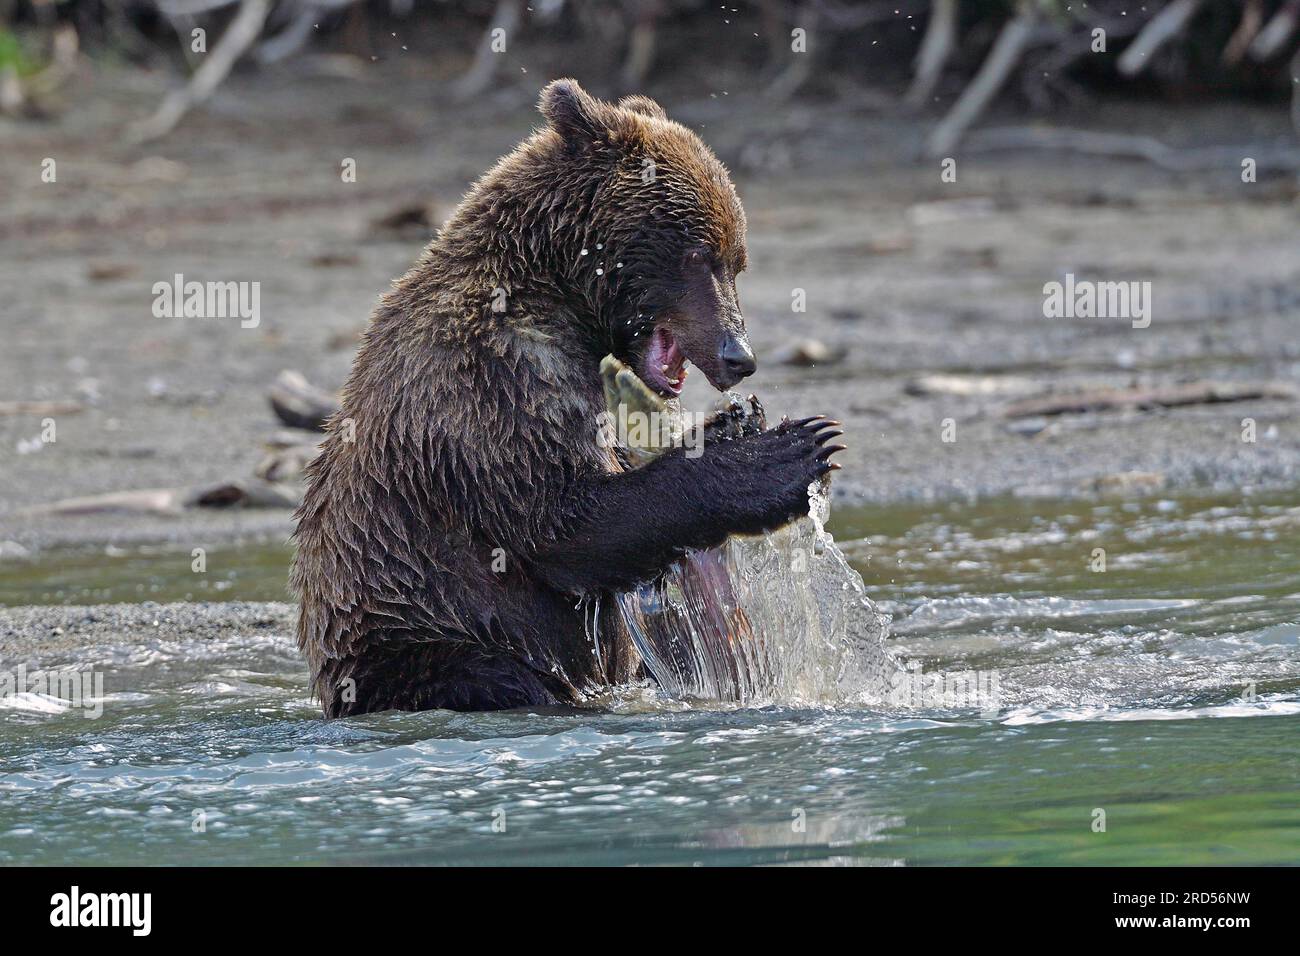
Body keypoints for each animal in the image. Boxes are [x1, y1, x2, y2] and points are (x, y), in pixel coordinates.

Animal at [293, 78, 842, 712]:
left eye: (736, 260)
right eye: (699, 254)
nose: (739, 356)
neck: (554, 295)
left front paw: (734, 425)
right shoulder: (493, 378)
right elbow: (566, 524)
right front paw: (792, 452)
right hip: (418, 637)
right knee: (494, 672)